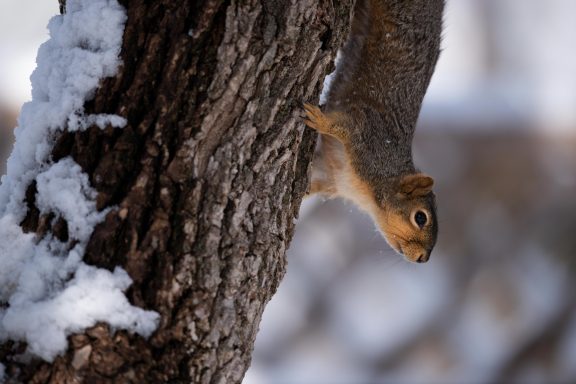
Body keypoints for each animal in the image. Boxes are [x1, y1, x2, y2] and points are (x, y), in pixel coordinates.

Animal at [304, 0, 444, 264]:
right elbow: (344, 126)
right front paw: (320, 119)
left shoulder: (329, 175)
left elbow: (312, 182)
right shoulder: (368, 137)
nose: (423, 258)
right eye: (420, 217)